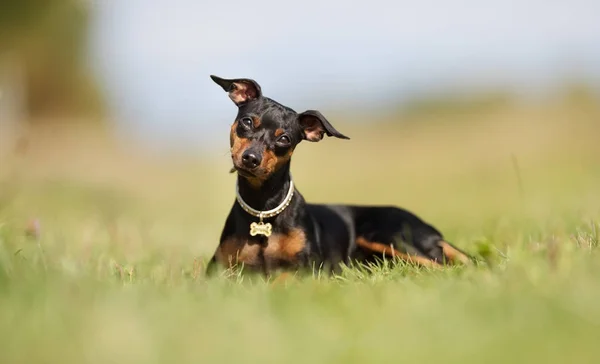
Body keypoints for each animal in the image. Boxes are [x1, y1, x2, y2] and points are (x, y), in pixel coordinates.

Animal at [206, 75, 474, 278]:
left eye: (284, 139)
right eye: (247, 122)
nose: (251, 158)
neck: (263, 207)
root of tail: (433, 233)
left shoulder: (307, 269)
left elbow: (283, 278)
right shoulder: (218, 272)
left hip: (388, 236)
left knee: (442, 267)